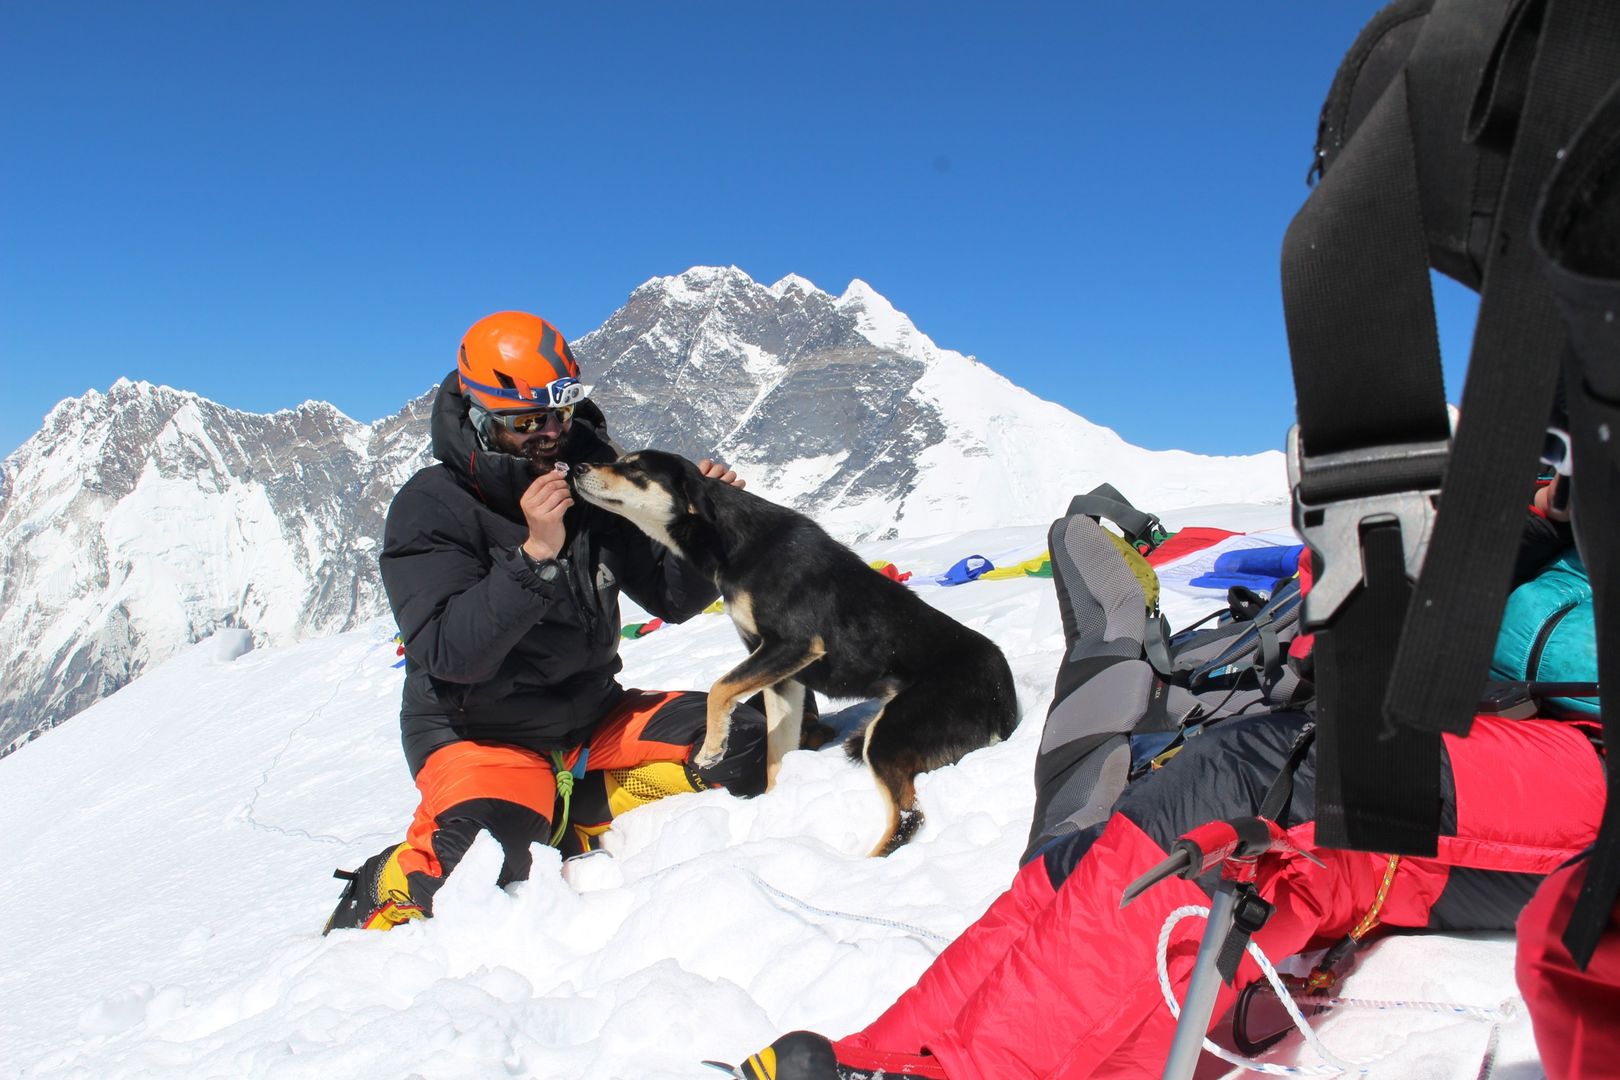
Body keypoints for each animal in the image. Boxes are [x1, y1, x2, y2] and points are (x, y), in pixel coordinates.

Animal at [576, 446, 1017, 854]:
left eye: (634, 467)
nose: (577, 466)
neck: (733, 541)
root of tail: (1005, 698)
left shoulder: (793, 643)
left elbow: (720, 688)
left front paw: (713, 748)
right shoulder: (782, 676)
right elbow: (777, 754)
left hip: (890, 733)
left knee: (909, 817)